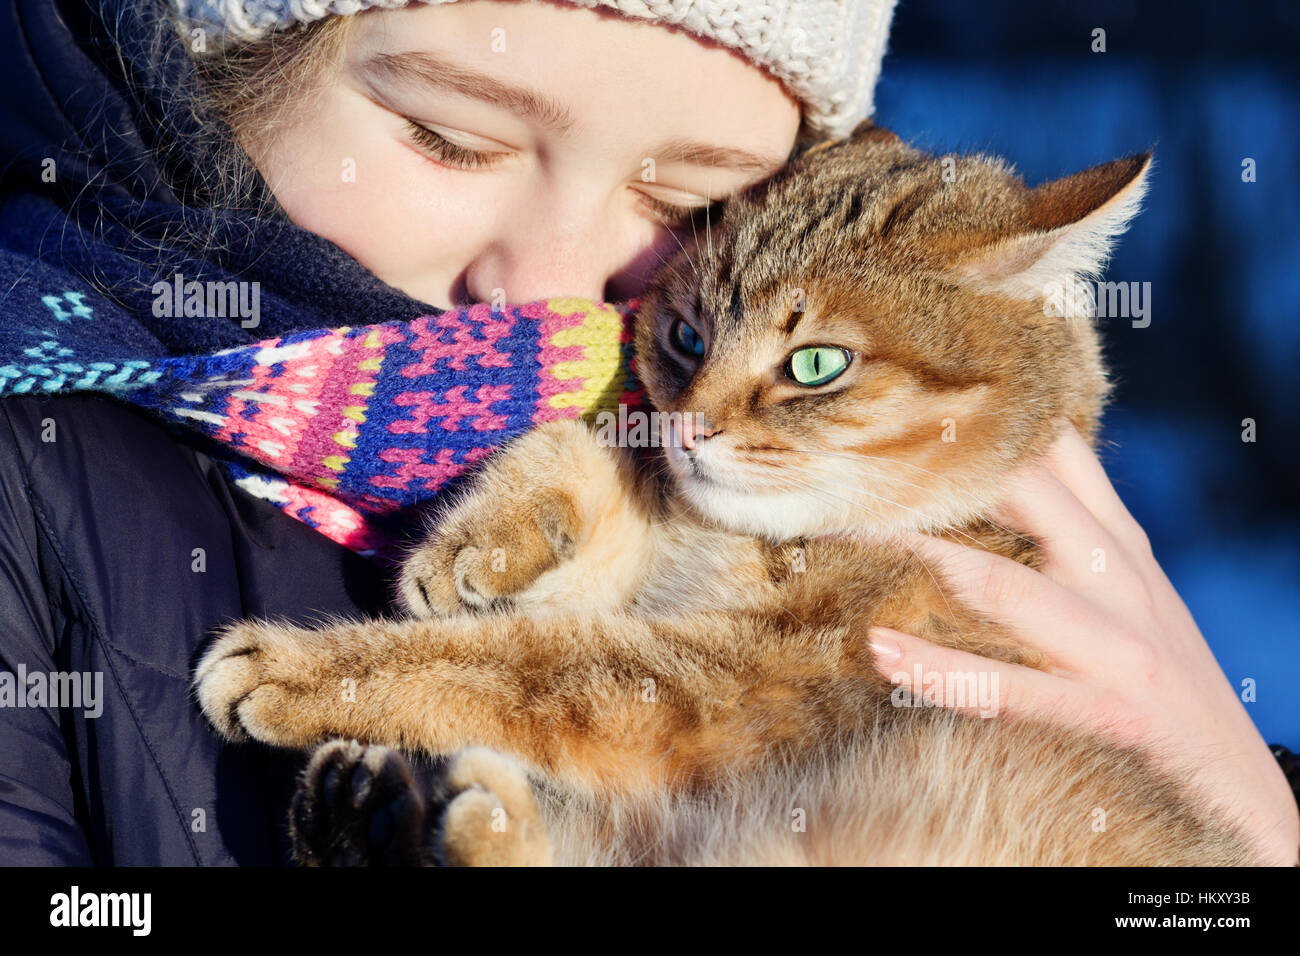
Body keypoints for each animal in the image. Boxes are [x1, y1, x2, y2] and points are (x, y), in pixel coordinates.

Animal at [192, 121, 1258, 868]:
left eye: (817, 363)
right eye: (686, 338)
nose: (693, 427)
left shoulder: (756, 683)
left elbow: (535, 665)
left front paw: (315, 670)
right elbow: (589, 457)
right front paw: (485, 542)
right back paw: (375, 821)